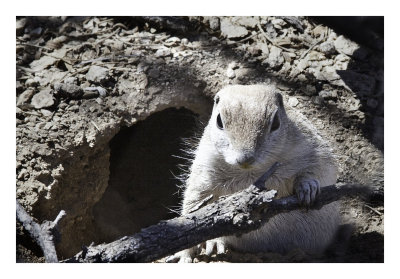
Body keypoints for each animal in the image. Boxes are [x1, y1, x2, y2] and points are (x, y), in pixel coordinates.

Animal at [167, 84, 340, 264]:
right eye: (219, 121)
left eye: (276, 122)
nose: (245, 158)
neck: (251, 172)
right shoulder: (204, 168)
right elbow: (191, 209)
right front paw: (184, 255)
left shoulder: (313, 147)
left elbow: (320, 169)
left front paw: (307, 186)